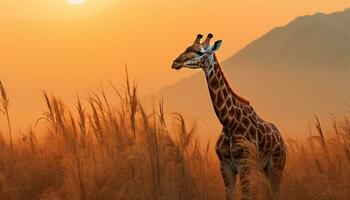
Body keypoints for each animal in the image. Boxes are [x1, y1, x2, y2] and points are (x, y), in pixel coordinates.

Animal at [171, 33, 286, 199]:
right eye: (187, 47)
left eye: (200, 52)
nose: (175, 62)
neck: (228, 123)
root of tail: (281, 138)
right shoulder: (225, 166)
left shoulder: (244, 165)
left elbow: (246, 196)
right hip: (263, 168)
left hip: (277, 165)